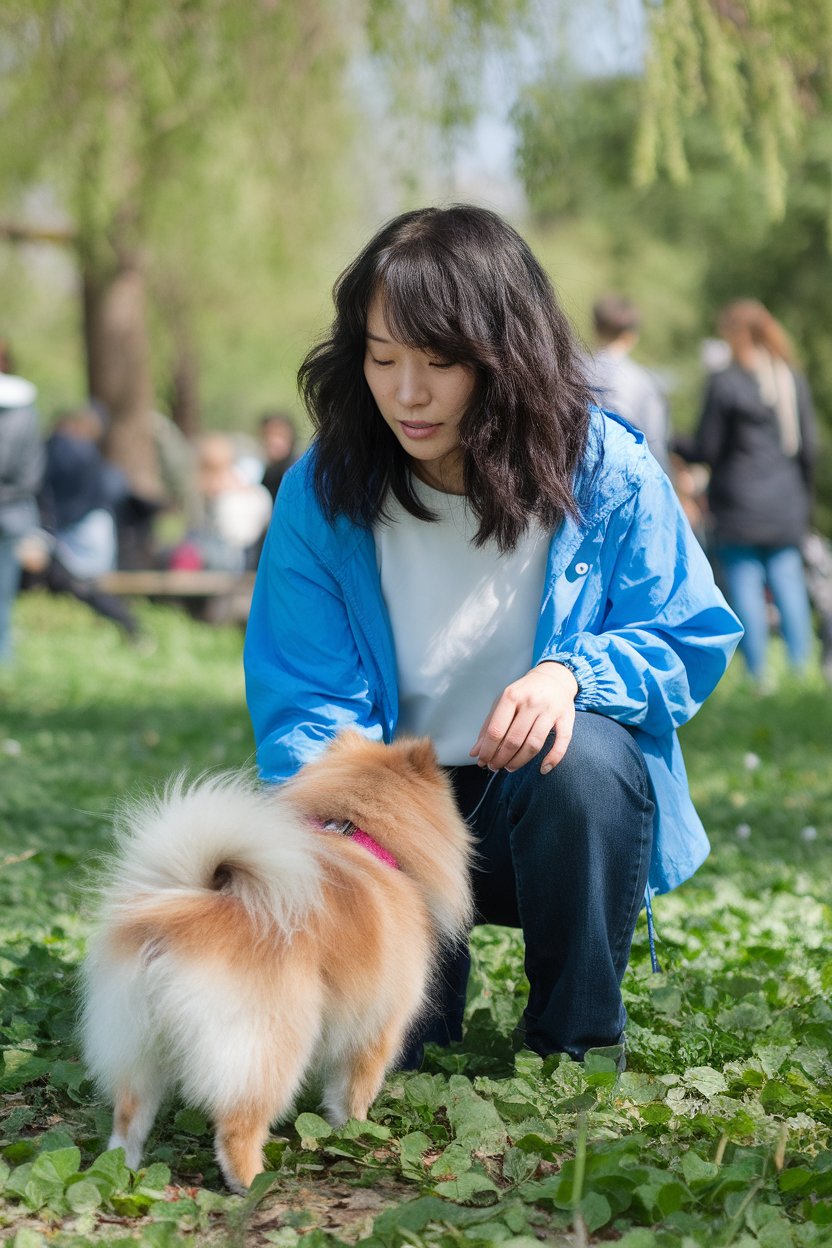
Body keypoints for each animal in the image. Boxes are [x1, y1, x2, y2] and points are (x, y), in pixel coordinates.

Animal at [84, 733, 474, 1193]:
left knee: (129, 1119)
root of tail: (183, 916)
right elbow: (352, 1096)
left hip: (139, 1045)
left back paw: (120, 1173)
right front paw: (358, 1136)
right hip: (270, 1045)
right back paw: (253, 1183)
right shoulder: (377, 1028)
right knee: (237, 1127)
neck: (359, 835)